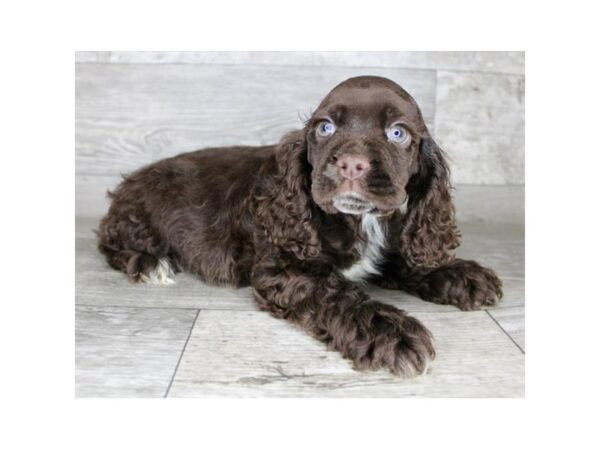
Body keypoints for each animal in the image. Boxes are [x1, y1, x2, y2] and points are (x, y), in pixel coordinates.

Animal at [98, 74, 502, 376]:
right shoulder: (284, 268)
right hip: (136, 216)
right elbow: (335, 292)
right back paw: (150, 263)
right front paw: (390, 332)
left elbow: (405, 259)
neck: (358, 220)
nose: (351, 164)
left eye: (398, 133)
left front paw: (460, 274)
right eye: (325, 128)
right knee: (111, 242)